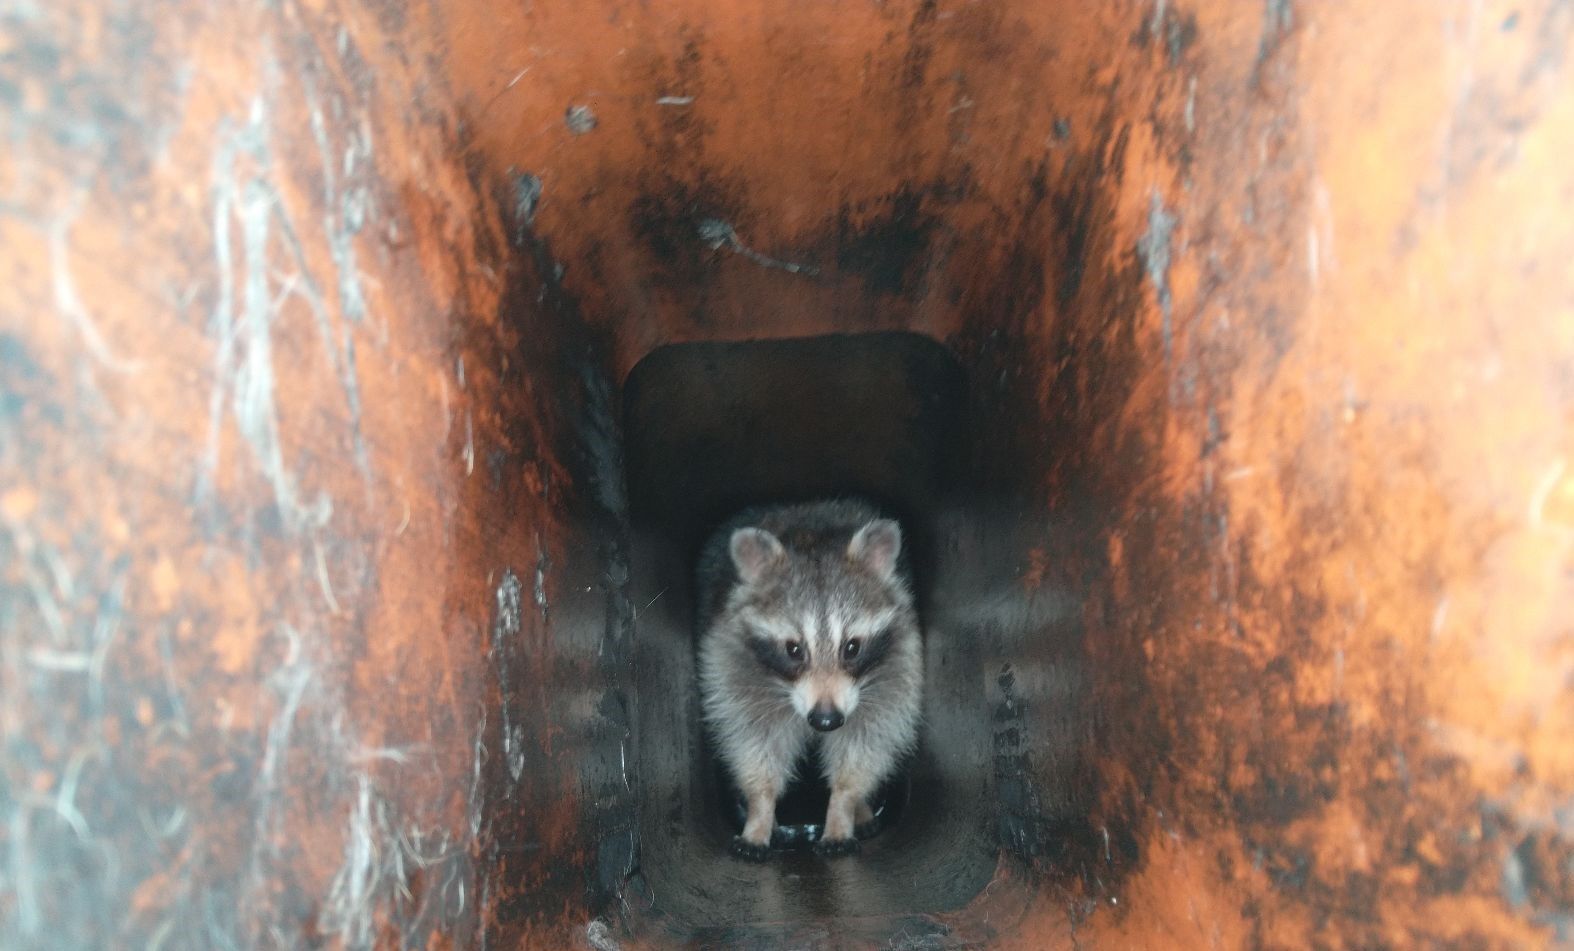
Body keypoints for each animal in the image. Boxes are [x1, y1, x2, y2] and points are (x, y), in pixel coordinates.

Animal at [696, 499, 923, 860]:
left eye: (852, 647)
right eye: (794, 649)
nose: (826, 719)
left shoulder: (897, 664)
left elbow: (867, 742)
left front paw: (844, 806)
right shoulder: (732, 662)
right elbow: (753, 742)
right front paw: (760, 812)